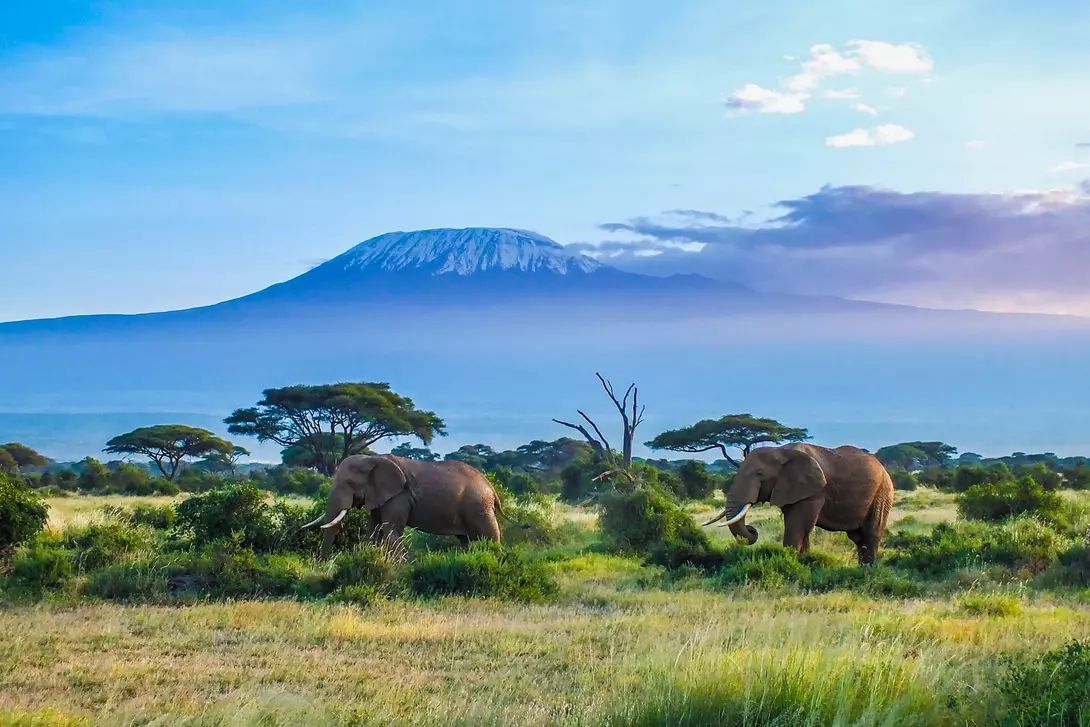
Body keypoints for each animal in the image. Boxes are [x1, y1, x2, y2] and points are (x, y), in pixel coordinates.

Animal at [302, 454, 508, 559]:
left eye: (349, 483)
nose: (321, 563)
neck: (371, 458)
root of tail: (491, 487)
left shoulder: (399, 497)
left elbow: (391, 531)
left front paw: (397, 568)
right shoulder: (380, 496)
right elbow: (373, 530)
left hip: (478, 506)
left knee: (489, 537)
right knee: (468, 541)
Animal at [701, 443, 894, 565]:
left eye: (759, 474)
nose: (751, 529)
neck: (780, 451)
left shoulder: (814, 491)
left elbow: (799, 526)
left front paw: (790, 562)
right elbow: (800, 527)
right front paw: (805, 562)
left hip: (882, 494)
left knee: (870, 534)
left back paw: (867, 570)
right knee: (858, 538)